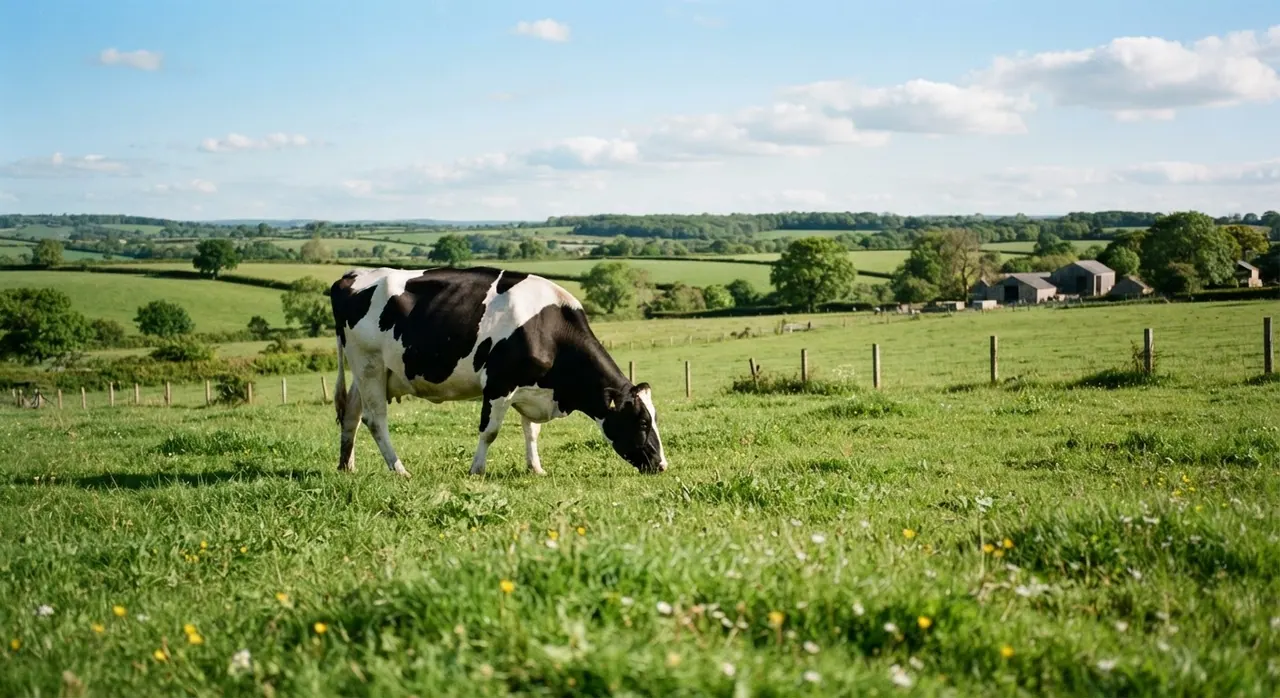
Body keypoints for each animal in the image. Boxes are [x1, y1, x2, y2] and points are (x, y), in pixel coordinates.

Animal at [328, 265, 668, 478]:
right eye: (641, 421)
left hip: (371, 370)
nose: (661, 464)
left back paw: (346, 466)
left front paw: (536, 468)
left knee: (352, 415)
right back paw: (399, 469)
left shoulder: (532, 388)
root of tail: (353, 275)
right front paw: (476, 470)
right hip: (368, 363)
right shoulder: (498, 384)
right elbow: (489, 431)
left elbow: (532, 431)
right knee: (376, 420)